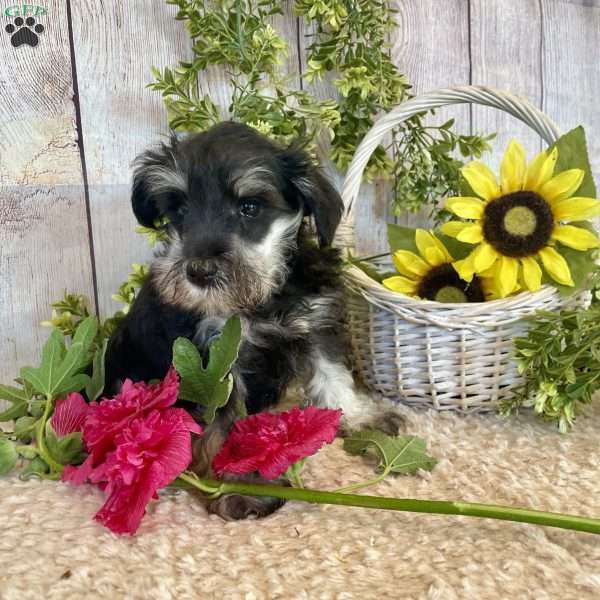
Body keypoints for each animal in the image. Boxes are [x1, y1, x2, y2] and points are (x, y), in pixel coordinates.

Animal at [105, 120, 398, 516]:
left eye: (249, 207)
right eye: (179, 209)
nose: (198, 271)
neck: (262, 297)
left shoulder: (315, 327)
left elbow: (333, 376)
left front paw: (360, 417)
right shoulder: (218, 363)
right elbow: (227, 424)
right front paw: (241, 486)